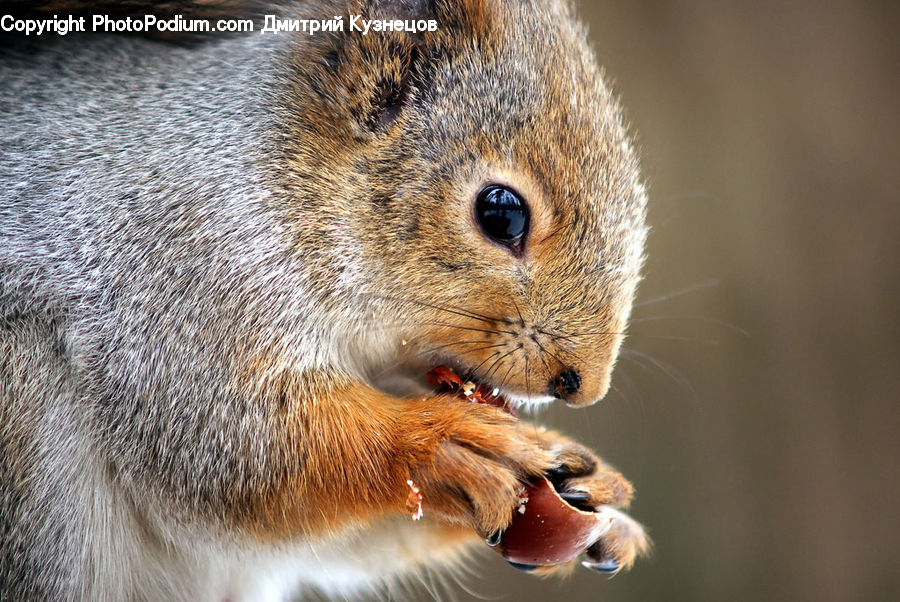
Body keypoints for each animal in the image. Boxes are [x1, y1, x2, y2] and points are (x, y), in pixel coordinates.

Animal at [0, 0, 650, 599]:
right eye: (501, 213)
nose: (581, 385)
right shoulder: (171, 276)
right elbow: (230, 438)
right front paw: (444, 444)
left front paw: (603, 499)